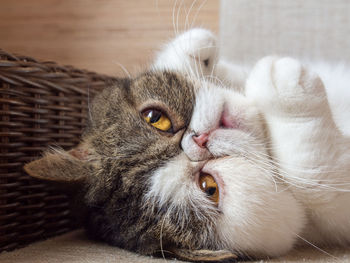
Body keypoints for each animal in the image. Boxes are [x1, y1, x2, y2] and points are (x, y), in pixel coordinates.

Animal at [24, 28, 350, 262]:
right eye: (209, 187)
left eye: (155, 118)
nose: (199, 139)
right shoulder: (331, 218)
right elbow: (313, 175)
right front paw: (283, 79)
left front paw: (198, 49)